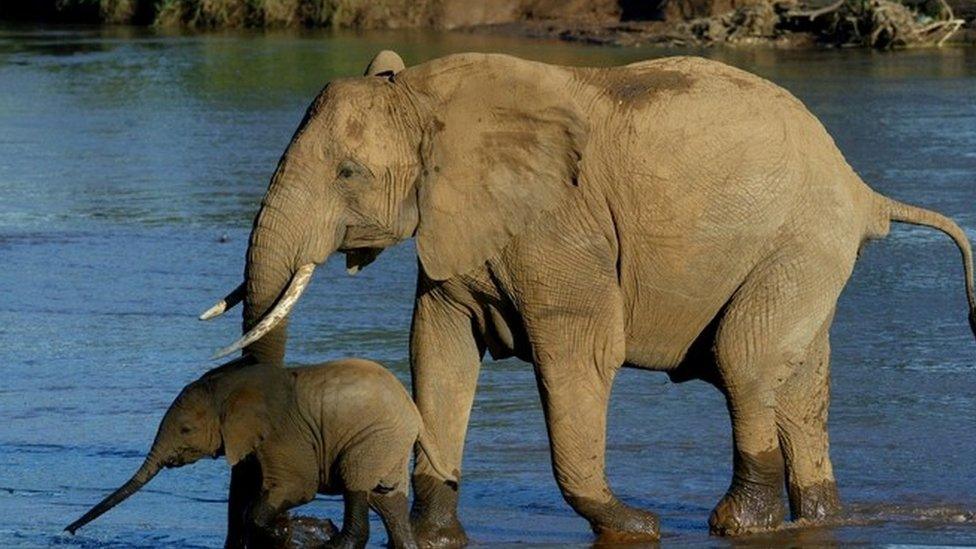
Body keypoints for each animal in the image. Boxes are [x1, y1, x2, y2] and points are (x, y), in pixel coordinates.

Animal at [66, 356, 456, 548]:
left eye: (186, 430)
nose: (69, 532)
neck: (229, 387)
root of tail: (414, 414)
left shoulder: (284, 434)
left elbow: (296, 488)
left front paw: (284, 535)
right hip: (387, 444)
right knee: (387, 501)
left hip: (373, 438)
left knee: (357, 486)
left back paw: (334, 545)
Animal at [202, 50, 972, 544]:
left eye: (348, 172)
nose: (299, 526)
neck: (425, 92)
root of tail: (862, 189)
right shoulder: (461, 230)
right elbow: (438, 351)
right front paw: (435, 535)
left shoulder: (559, 226)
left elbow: (578, 353)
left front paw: (633, 526)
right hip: (806, 255)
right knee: (803, 384)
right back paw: (817, 517)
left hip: (802, 244)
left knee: (745, 361)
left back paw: (737, 525)